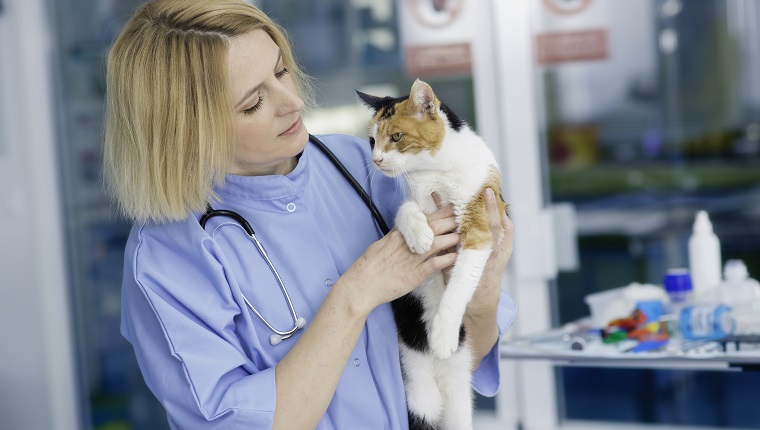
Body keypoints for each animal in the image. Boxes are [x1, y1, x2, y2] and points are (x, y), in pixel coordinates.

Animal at [358, 78, 510, 430]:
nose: (376, 160)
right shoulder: (416, 202)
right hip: (418, 394)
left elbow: (458, 286)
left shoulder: (479, 225)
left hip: (459, 405)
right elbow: (406, 211)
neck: (435, 170)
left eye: (396, 137)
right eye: (372, 140)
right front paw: (420, 237)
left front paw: (442, 335)